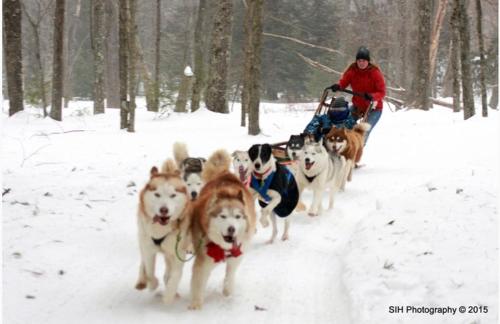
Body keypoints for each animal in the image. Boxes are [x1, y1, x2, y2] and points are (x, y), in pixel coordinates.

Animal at [135, 161, 191, 306]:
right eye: (157, 194)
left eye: (173, 195)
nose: (164, 210)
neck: (160, 230)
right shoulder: (149, 248)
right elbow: (149, 270)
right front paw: (152, 284)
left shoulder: (177, 251)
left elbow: (175, 275)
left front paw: (169, 295)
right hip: (142, 238)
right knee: (143, 261)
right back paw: (141, 280)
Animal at [188, 149, 256, 308]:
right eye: (223, 216)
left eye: (237, 217)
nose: (231, 229)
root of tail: (224, 173)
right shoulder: (203, 258)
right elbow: (198, 282)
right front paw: (195, 305)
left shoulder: (238, 253)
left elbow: (230, 274)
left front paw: (227, 291)